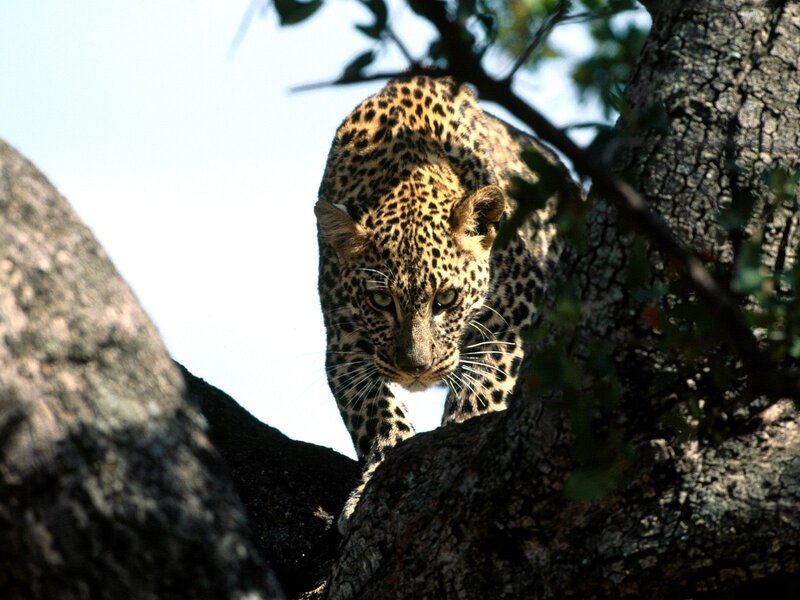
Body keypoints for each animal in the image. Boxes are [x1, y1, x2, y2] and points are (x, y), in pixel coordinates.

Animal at [315, 75, 561, 530]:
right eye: (380, 300)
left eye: (446, 298)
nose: (416, 369)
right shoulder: (343, 344)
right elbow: (376, 413)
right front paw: (374, 481)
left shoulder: (514, 318)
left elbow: (481, 392)